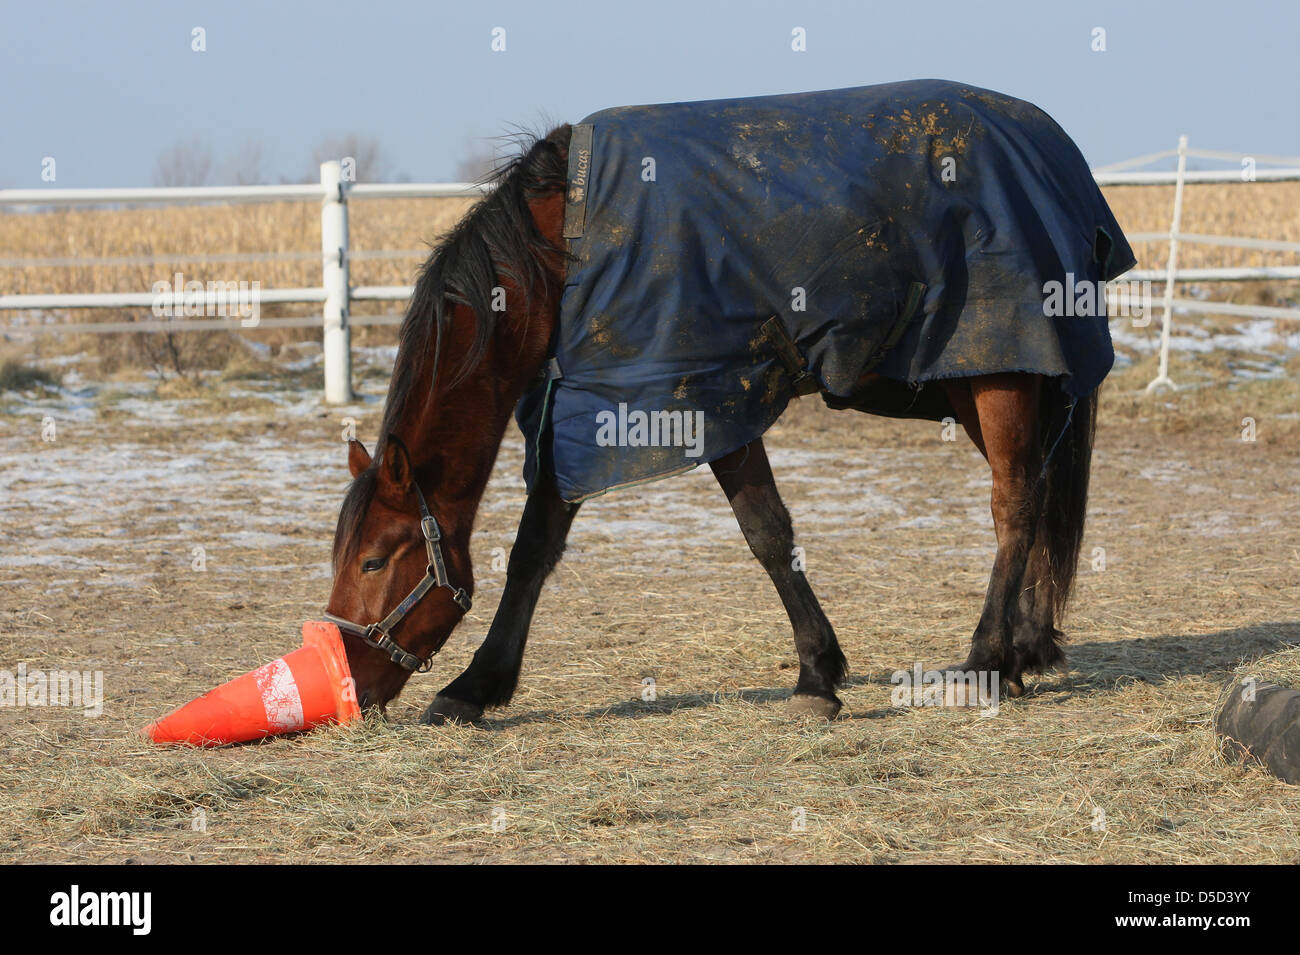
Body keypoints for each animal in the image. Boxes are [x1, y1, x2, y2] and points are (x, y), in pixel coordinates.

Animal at [323, 81, 1133, 722]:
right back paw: (1027, 650)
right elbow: (533, 551)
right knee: (1038, 496)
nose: (349, 684)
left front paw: (815, 675)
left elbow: (767, 533)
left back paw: (986, 661)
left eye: (374, 560)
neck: (566, 249)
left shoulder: (710, 396)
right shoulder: (577, 407)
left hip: (1000, 368)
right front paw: (477, 685)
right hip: (981, 380)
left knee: (1015, 504)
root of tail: (1051, 148)